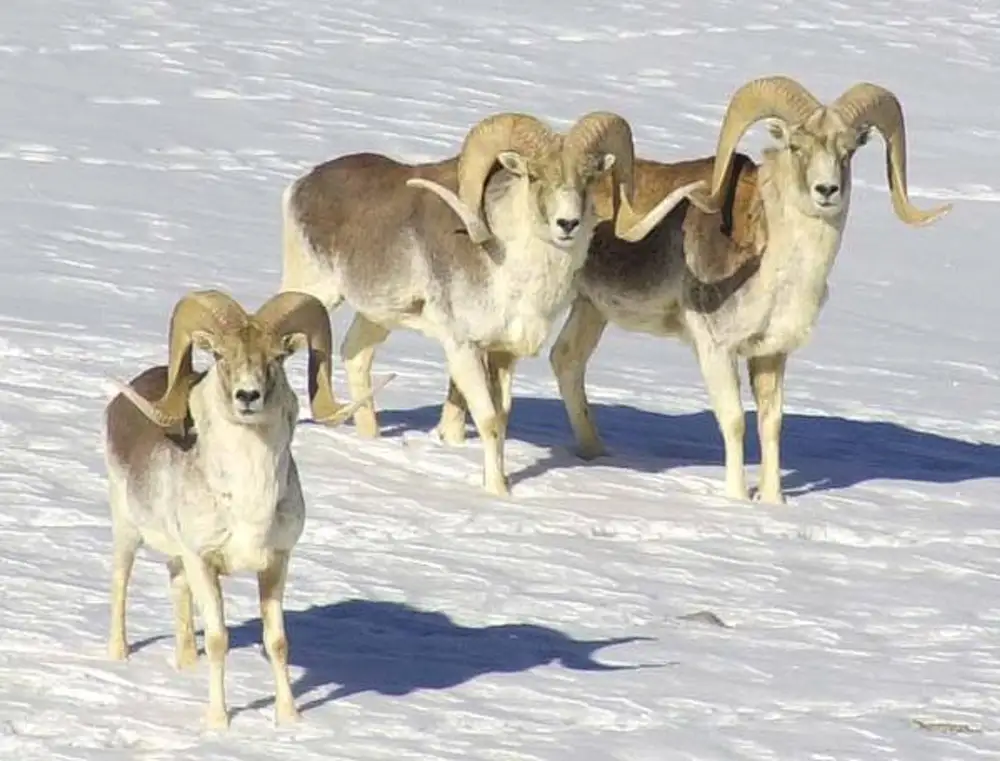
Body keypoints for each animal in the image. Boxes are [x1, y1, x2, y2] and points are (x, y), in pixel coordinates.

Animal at [104, 288, 386, 728]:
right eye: (220, 355)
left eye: (278, 357)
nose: (248, 397)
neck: (249, 497)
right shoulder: (204, 563)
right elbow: (219, 640)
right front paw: (218, 722)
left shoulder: (274, 564)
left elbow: (278, 642)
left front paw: (289, 719)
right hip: (128, 533)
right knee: (120, 584)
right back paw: (119, 656)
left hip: (177, 560)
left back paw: (186, 666)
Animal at [278, 110, 708, 496]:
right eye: (534, 176)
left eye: (588, 178)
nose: (567, 224)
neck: (509, 269)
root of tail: (302, 186)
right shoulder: (464, 349)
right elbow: (488, 421)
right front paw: (499, 493)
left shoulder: (503, 354)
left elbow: (501, 420)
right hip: (315, 292)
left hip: (377, 318)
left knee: (356, 356)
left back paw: (371, 439)